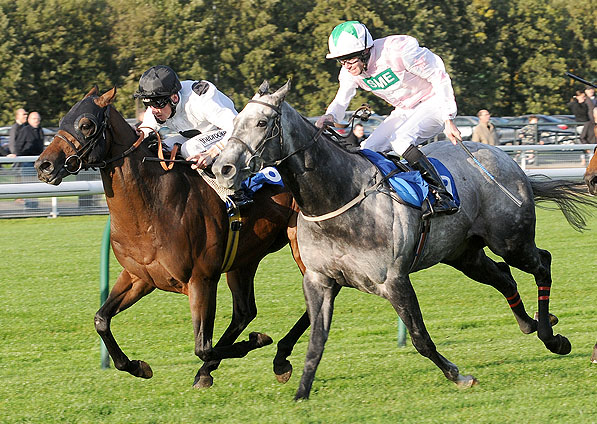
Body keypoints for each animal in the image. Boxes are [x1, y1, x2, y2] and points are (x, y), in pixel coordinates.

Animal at [35, 88, 310, 390]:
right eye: (63, 120)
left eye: (86, 125)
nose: (44, 165)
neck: (154, 203)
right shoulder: (139, 276)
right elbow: (101, 320)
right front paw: (138, 366)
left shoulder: (202, 279)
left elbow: (203, 346)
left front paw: (257, 340)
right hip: (244, 258)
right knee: (244, 311)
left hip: (299, 245)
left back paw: (280, 359)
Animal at [212, 80, 592, 400]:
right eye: (235, 123)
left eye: (262, 123)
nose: (222, 169)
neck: (337, 196)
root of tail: (506, 159)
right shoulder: (320, 280)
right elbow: (316, 342)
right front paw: (301, 392)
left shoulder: (394, 280)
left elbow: (420, 338)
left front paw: (459, 376)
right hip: (464, 254)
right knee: (504, 277)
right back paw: (532, 324)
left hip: (511, 240)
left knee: (542, 263)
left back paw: (551, 337)